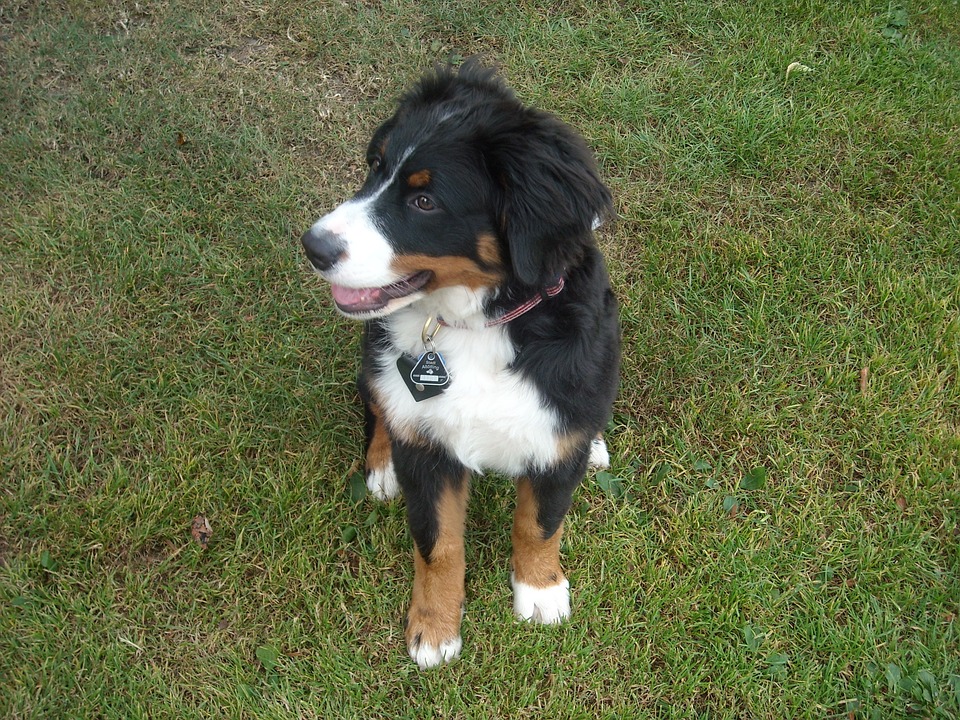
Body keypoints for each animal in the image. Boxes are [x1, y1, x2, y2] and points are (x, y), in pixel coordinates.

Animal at [301, 59, 620, 668]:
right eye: (375, 167)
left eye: (425, 202)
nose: (313, 246)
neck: (477, 326)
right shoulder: (428, 447)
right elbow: (439, 544)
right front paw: (434, 629)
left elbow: (539, 522)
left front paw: (540, 591)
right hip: (374, 360)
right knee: (376, 404)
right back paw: (382, 466)